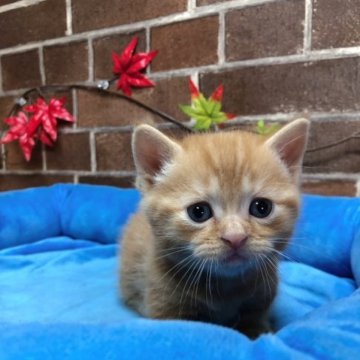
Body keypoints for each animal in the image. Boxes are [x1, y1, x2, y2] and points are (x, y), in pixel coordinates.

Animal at [120, 118, 310, 338]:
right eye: (198, 212)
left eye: (262, 208)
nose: (235, 237)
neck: (226, 288)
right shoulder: (163, 306)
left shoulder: (261, 297)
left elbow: (254, 320)